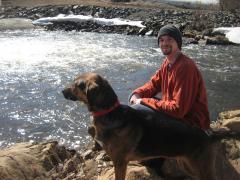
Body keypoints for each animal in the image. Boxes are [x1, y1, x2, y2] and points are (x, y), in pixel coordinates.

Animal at [62, 72, 240, 179]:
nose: (62, 91)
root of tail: (209, 134)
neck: (110, 112)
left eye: (77, 84)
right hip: (187, 164)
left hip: (201, 165)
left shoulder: (119, 162)